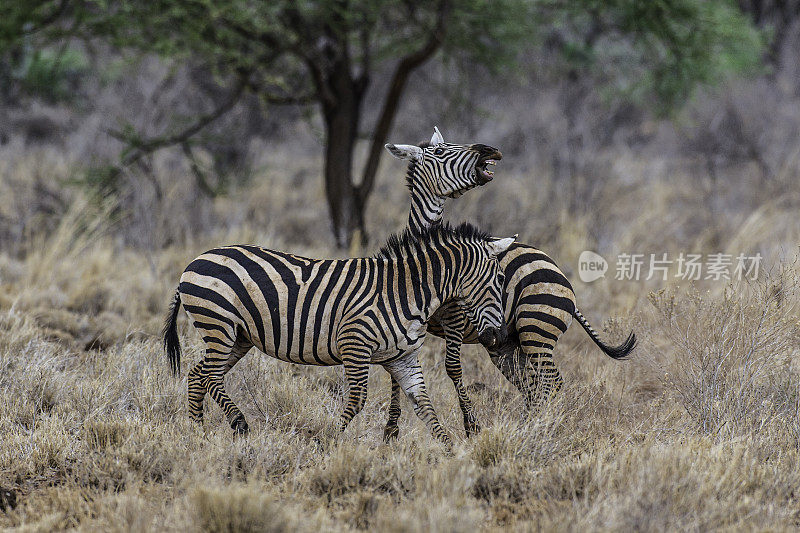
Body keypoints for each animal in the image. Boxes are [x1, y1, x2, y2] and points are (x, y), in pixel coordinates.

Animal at [163, 220, 516, 444]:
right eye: (500, 279)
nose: (498, 338)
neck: (406, 291)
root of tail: (193, 262)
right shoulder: (354, 343)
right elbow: (357, 400)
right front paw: (330, 442)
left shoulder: (403, 358)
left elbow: (424, 404)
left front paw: (451, 452)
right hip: (219, 325)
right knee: (207, 377)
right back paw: (227, 426)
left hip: (238, 337)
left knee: (200, 375)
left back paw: (207, 433)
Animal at [382, 127, 636, 438]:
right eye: (441, 151)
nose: (490, 150)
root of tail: (556, 270)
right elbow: (396, 373)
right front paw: (391, 429)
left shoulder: (454, 319)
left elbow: (452, 368)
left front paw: (472, 426)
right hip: (509, 342)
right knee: (533, 385)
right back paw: (531, 426)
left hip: (535, 328)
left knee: (550, 382)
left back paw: (540, 429)